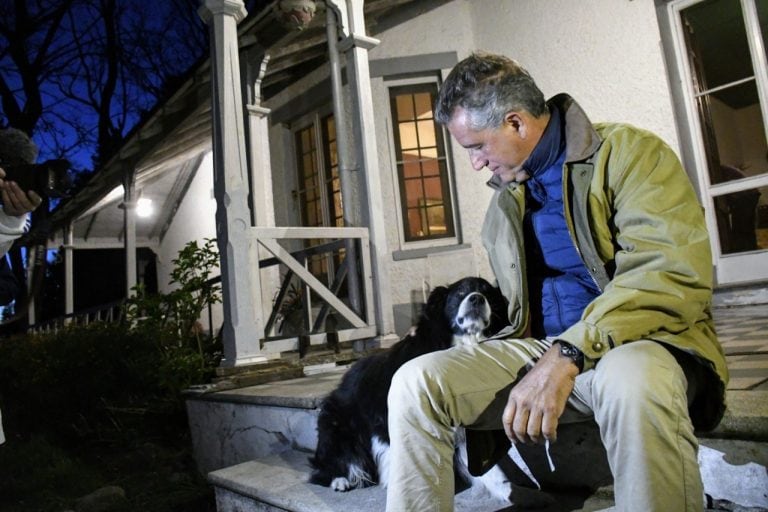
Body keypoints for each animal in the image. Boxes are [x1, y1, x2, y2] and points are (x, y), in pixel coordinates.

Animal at [306, 276, 510, 496]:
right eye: (460, 292)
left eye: (488, 293)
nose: (477, 299)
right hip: (336, 428)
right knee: (330, 464)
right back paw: (339, 480)